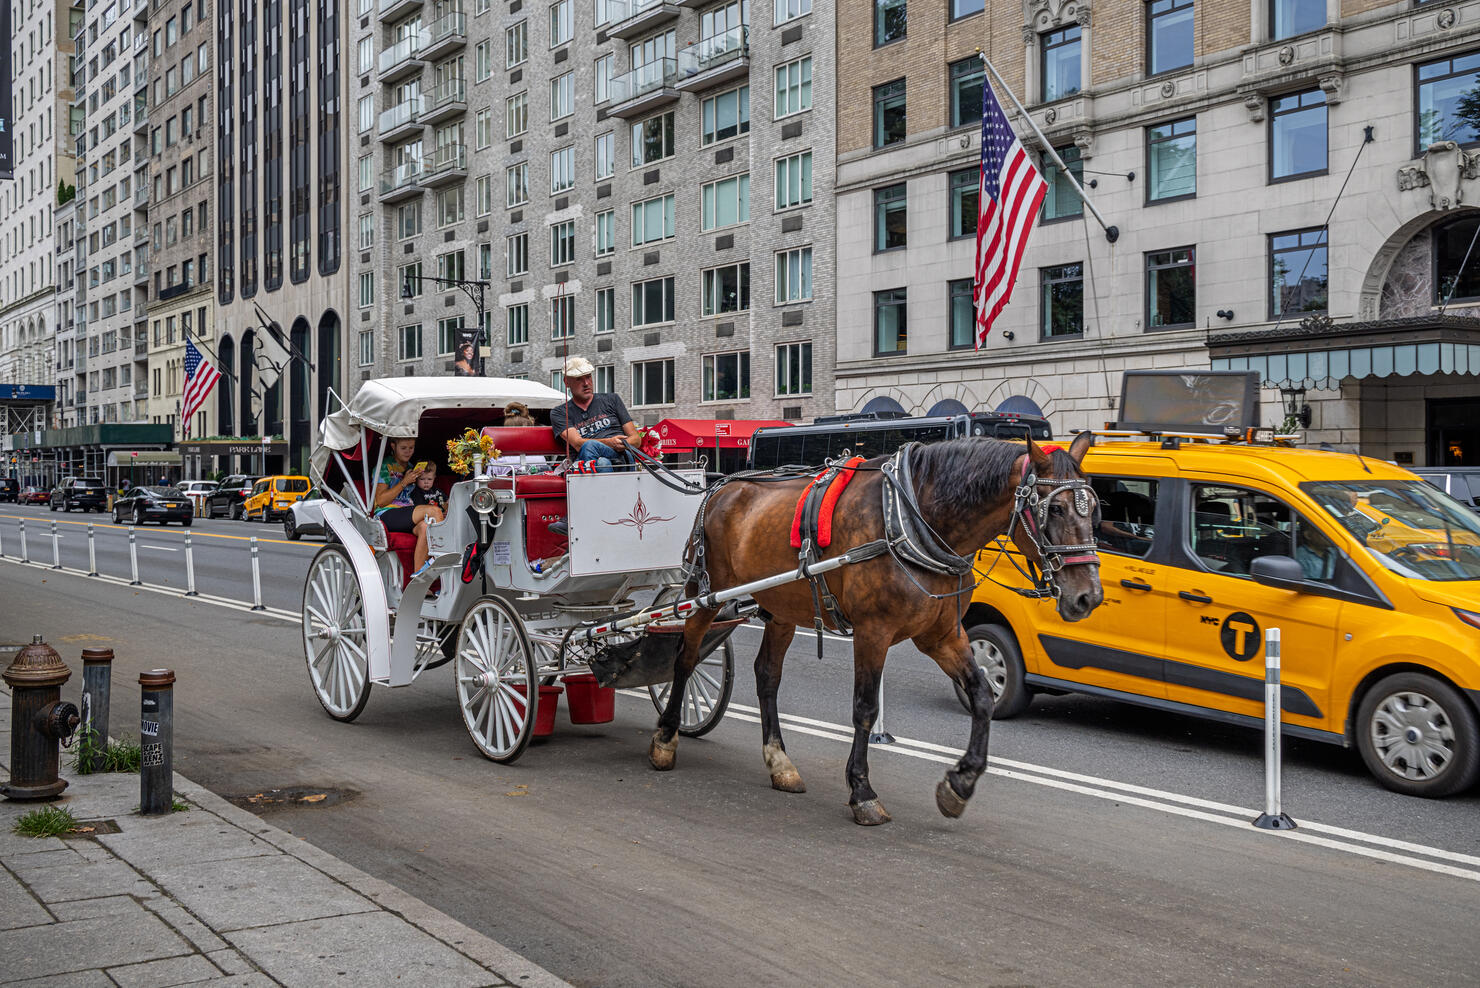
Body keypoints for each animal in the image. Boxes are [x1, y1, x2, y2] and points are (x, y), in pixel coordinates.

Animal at [648, 431, 1101, 828]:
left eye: (1093, 509)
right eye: (1054, 509)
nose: (1089, 596)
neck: (913, 519)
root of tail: (720, 486)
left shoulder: (942, 636)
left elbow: (981, 698)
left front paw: (959, 784)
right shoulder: (873, 632)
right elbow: (865, 708)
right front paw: (862, 793)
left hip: (781, 607)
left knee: (767, 676)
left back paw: (780, 763)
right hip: (705, 594)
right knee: (686, 657)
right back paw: (666, 739)